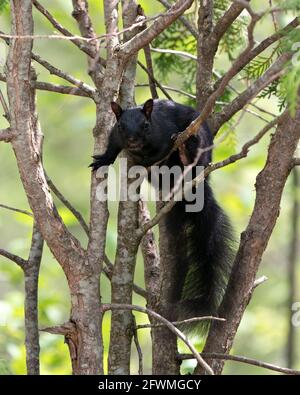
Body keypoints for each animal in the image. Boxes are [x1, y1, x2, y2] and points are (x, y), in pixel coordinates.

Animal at [91, 99, 234, 332]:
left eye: (146, 125)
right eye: (121, 125)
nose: (132, 141)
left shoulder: (164, 137)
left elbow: (157, 154)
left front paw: (143, 160)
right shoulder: (114, 135)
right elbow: (112, 146)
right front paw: (104, 159)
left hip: (200, 146)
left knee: (192, 157)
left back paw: (186, 153)